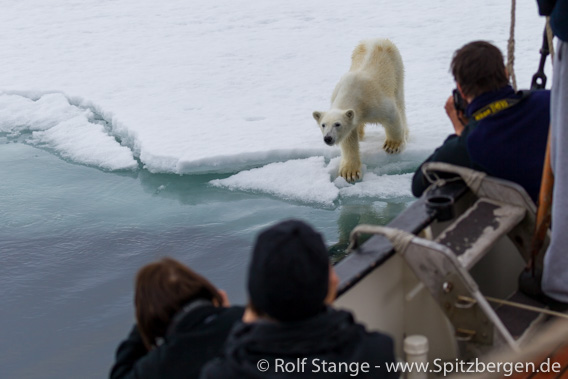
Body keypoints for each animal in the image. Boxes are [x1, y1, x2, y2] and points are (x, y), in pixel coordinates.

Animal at [310, 39, 408, 183]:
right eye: (323, 125)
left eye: (337, 124)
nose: (328, 138)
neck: (352, 93)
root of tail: (376, 39)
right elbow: (349, 140)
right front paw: (349, 172)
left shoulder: (374, 101)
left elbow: (392, 116)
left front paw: (392, 146)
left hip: (396, 66)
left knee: (399, 99)